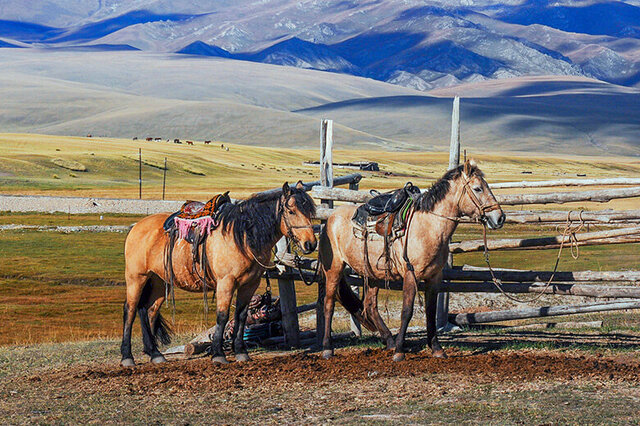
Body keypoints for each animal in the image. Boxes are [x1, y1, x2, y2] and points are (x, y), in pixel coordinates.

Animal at [120, 182, 318, 366]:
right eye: (291, 211)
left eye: (310, 210)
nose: (310, 244)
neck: (242, 236)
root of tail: (136, 227)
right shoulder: (226, 282)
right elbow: (222, 316)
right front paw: (218, 354)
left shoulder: (249, 285)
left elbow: (241, 316)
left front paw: (240, 352)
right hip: (137, 278)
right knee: (130, 309)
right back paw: (127, 357)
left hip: (159, 281)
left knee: (148, 311)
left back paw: (155, 354)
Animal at [320, 160, 504, 360]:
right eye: (478, 188)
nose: (500, 217)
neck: (429, 227)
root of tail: (330, 219)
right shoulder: (411, 274)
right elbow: (406, 311)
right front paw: (400, 352)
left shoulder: (434, 277)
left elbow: (431, 312)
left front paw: (436, 349)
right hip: (334, 269)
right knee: (329, 303)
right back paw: (328, 348)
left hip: (373, 274)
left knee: (370, 306)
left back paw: (390, 342)